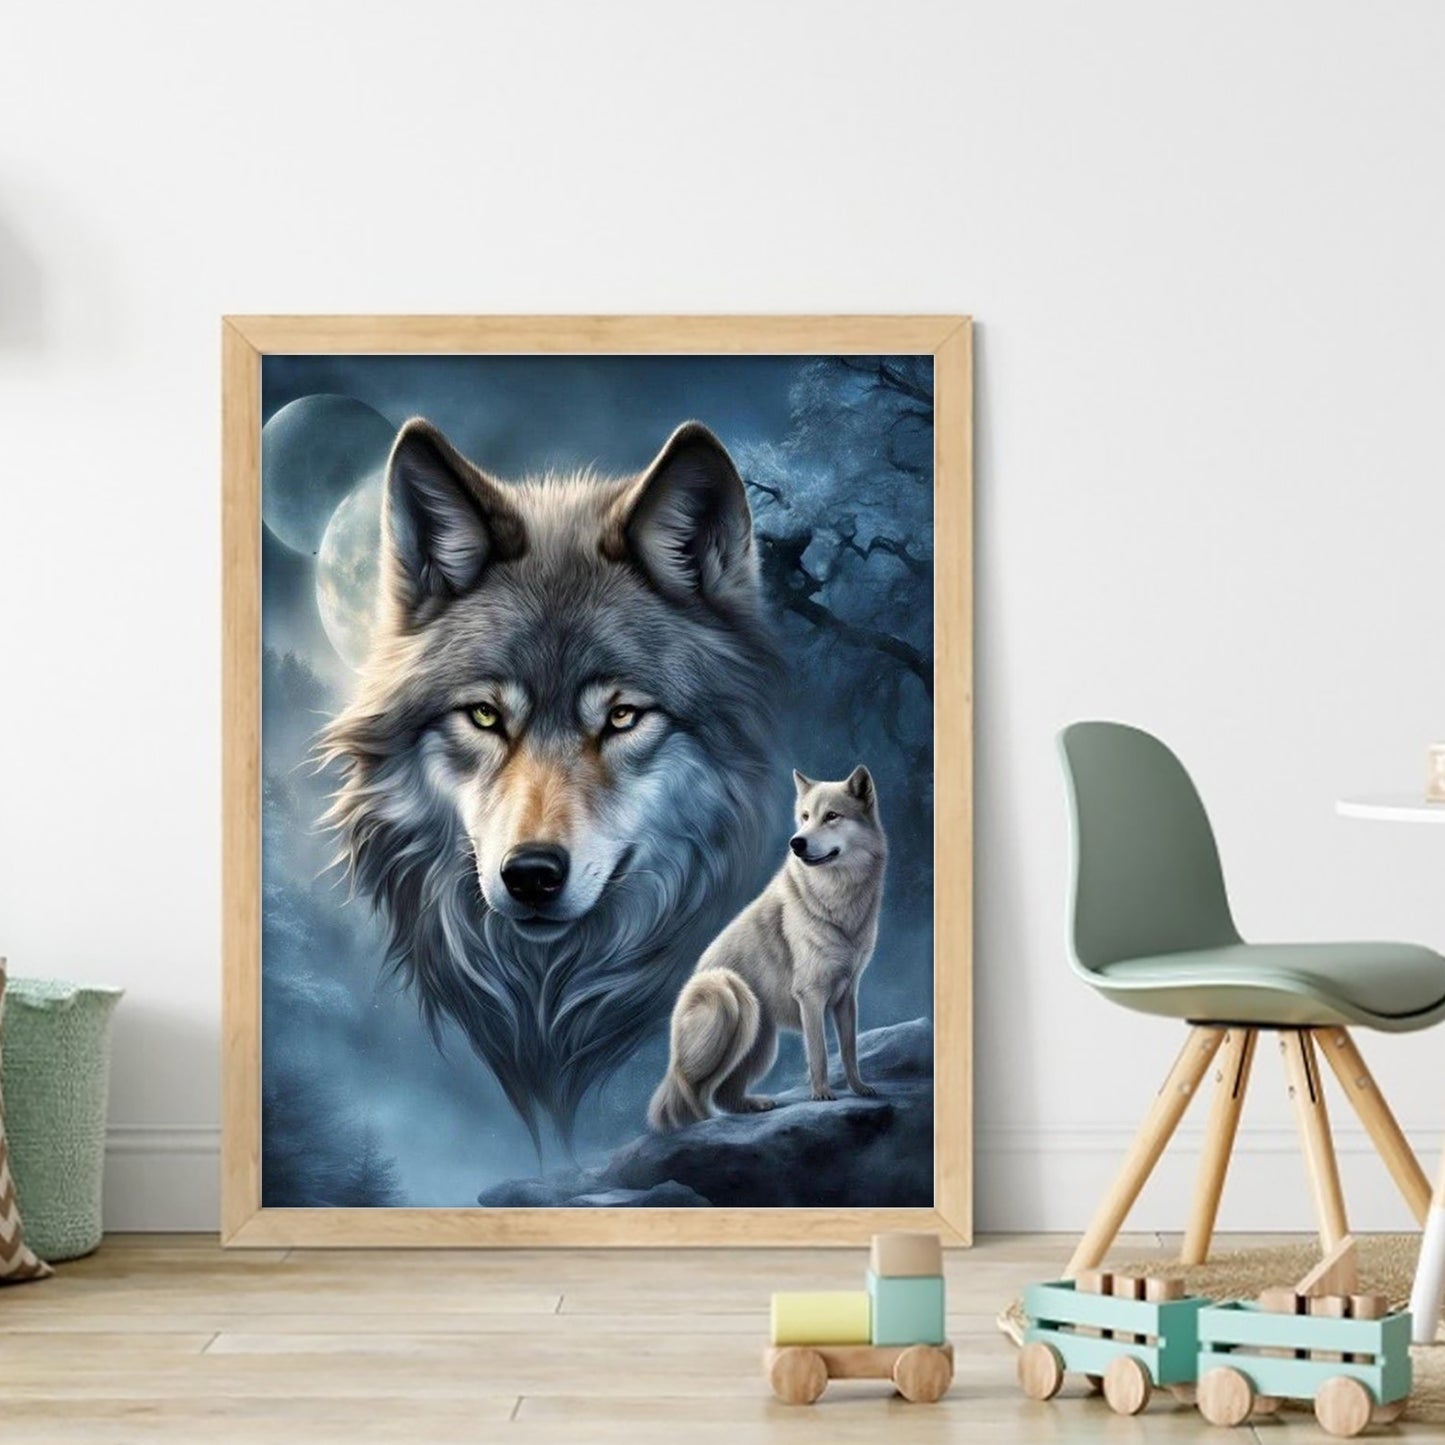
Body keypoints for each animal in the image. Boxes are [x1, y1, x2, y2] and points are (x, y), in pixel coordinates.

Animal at [648, 766, 887, 1131]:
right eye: (804, 817)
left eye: (831, 816)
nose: (796, 842)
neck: (838, 899)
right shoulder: (811, 996)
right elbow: (818, 1052)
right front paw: (822, 1094)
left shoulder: (847, 996)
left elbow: (848, 1051)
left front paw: (859, 1088)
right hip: (729, 993)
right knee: (692, 1089)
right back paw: (705, 1119)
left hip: (762, 1044)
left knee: (724, 1092)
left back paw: (752, 1105)